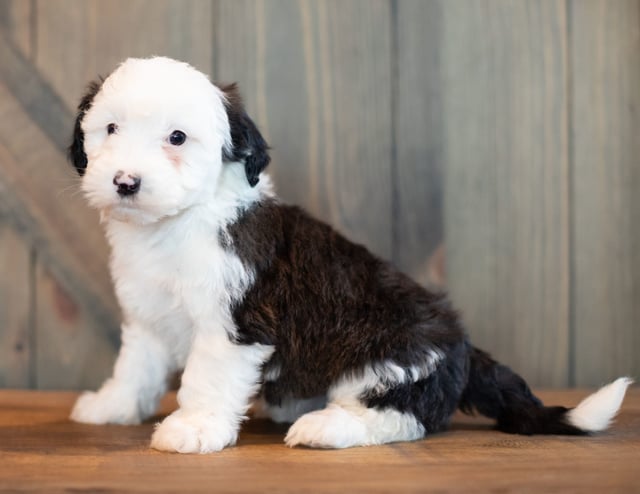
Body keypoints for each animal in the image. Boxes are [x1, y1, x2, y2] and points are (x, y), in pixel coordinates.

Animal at [69, 56, 632, 454]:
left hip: (393, 357)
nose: (125, 182)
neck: (177, 223)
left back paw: (325, 425)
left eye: (177, 138)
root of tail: (463, 345)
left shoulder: (235, 323)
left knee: (399, 416)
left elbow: (207, 377)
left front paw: (195, 428)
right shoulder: (146, 314)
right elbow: (137, 365)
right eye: (111, 129)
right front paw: (113, 405)